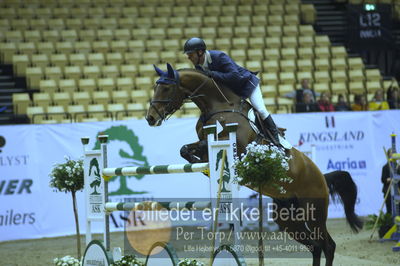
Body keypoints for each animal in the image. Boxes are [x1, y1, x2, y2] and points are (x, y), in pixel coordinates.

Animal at [145, 63, 362, 264]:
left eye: (166, 88)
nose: (150, 118)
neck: (217, 105)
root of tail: (321, 176)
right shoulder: (204, 143)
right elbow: (185, 149)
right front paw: (201, 166)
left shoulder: (236, 146)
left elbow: (206, 148)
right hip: (288, 218)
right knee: (315, 246)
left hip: (314, 212)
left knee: (328, 245)